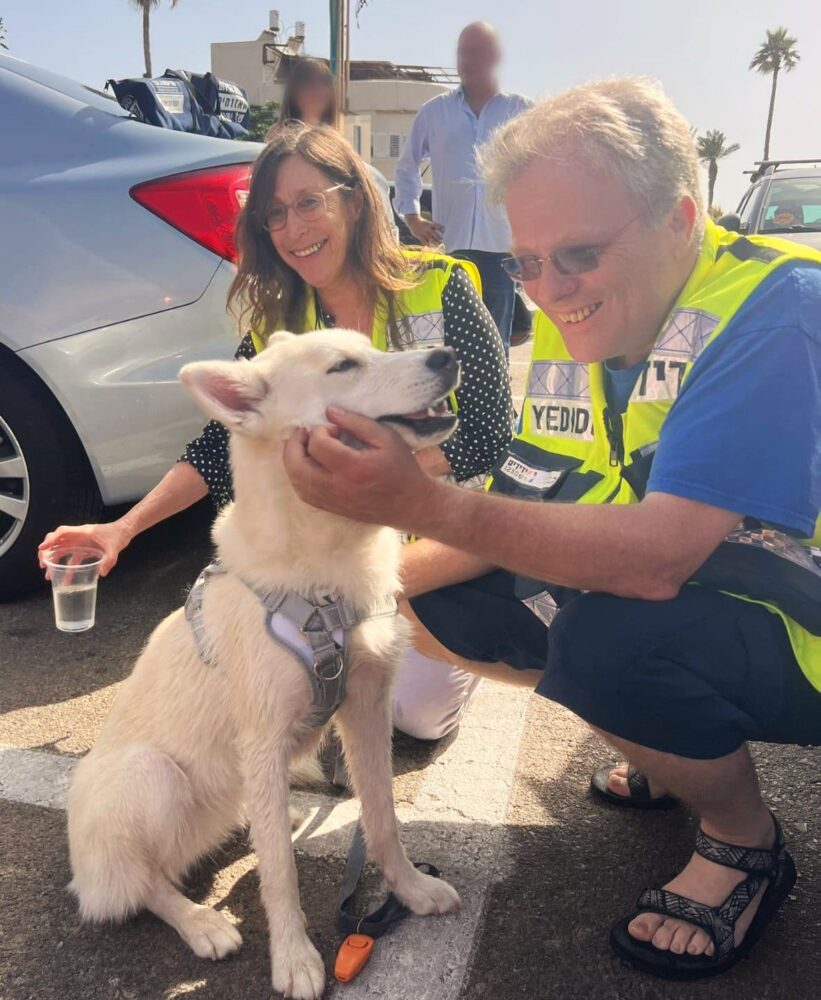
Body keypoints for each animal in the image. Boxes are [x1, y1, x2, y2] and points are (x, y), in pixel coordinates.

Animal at [67, 332, 464, 996]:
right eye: (343, 366)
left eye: (374, 346)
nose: (448, 356)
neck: (321, 583)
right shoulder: (262, 738)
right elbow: (280, 873)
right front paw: (294, 958)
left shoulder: (366, 709)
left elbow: (382, 818)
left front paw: (409, 890)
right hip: (151, 775)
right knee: (144, 885)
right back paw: (201, 922)